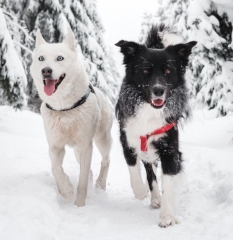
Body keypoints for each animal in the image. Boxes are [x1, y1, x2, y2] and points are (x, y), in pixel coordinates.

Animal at [30, 26, 113, 206]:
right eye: (41, 58)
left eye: (60, 58)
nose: (46, 70)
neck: (64, 109)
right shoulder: (55, 145)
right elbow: (55, 168)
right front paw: (66, 190)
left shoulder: (86, 146)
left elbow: (82, 182)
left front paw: (79, 205)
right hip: (77, 150)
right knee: (89, 170)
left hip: (101, 139)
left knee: (105, 160)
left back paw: (100, 184)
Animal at [115, 24, 196, 227]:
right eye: (145, 71)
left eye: (168, 71)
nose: (158, 90)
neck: (149, 111)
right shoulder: (128, 141)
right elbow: (135, 170)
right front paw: (141, 191)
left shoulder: (169, 150)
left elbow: (168, 181)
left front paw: (167, 216)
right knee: (149, 171)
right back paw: (153, 196)